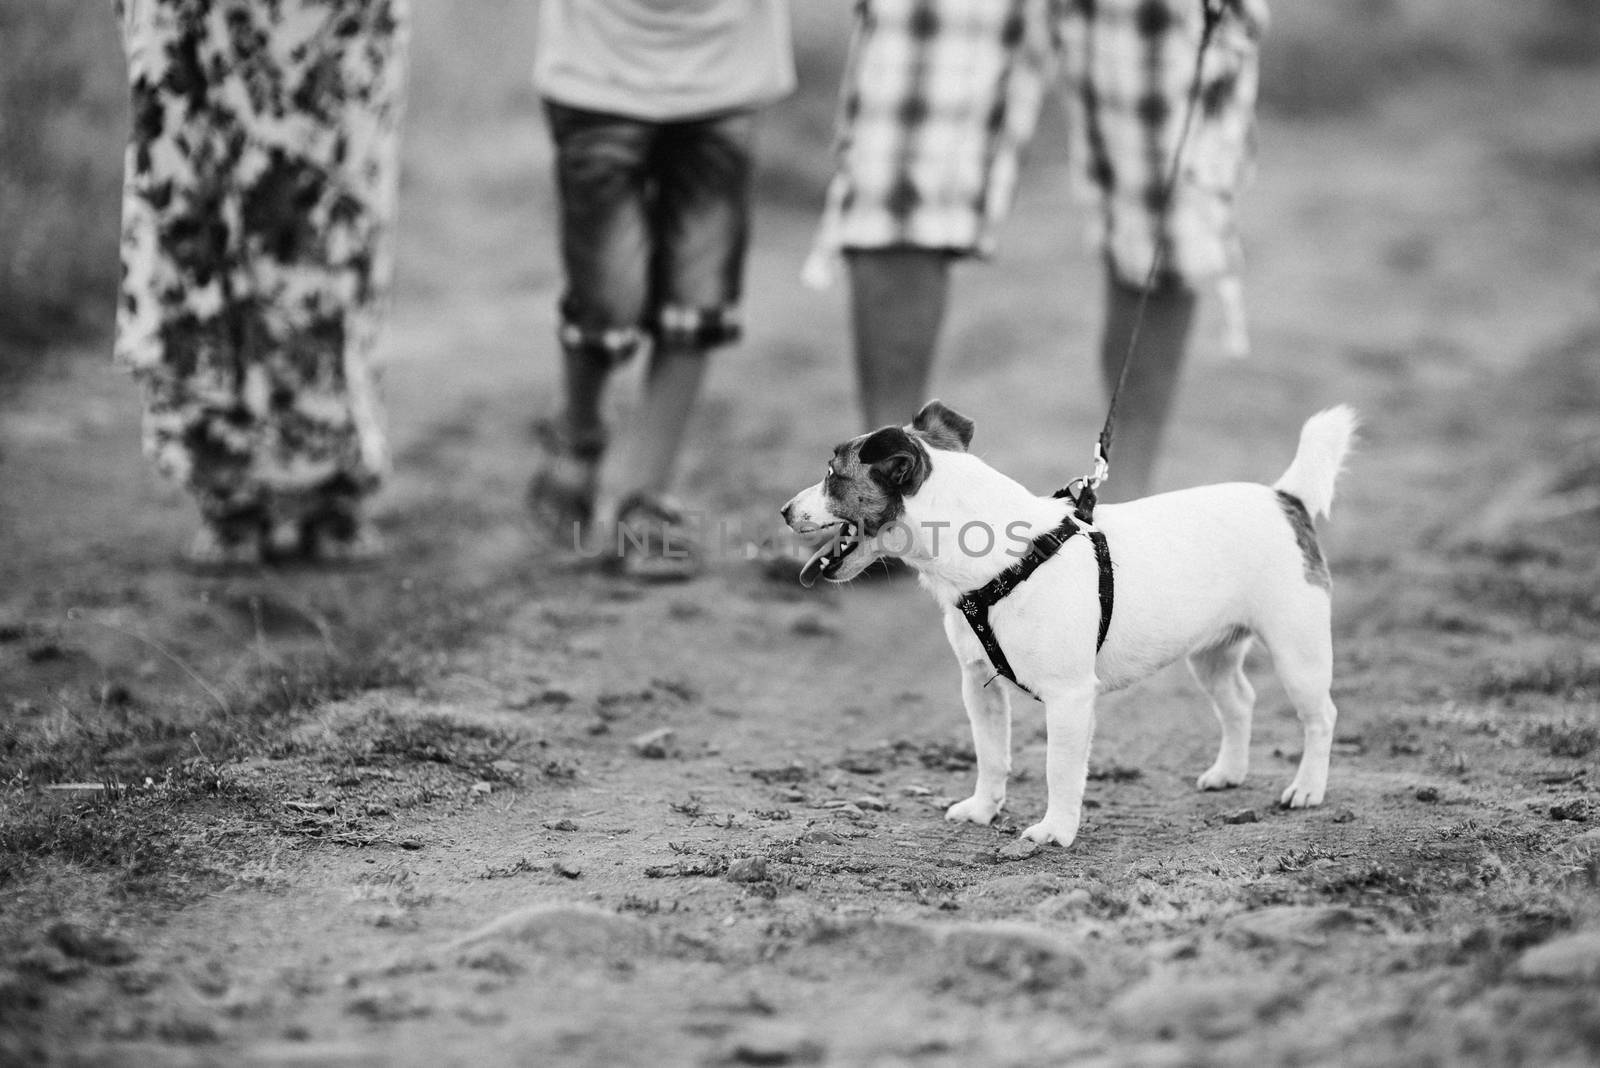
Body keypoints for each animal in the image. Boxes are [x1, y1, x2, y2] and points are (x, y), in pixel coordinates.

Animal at [780, 399, 1356, 850]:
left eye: (832, 474)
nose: (785, 509)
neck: (998, 558)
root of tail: (1285, 500)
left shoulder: (1070, 697)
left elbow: (1060, 769)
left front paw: (1055, 831)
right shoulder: (978, 685)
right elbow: (991, 756)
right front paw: (983, 809)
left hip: (1297, 651)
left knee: (1322, 716)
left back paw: (1308, 788)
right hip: (1212, 654)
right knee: (1239, 702)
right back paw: (1228, 774)